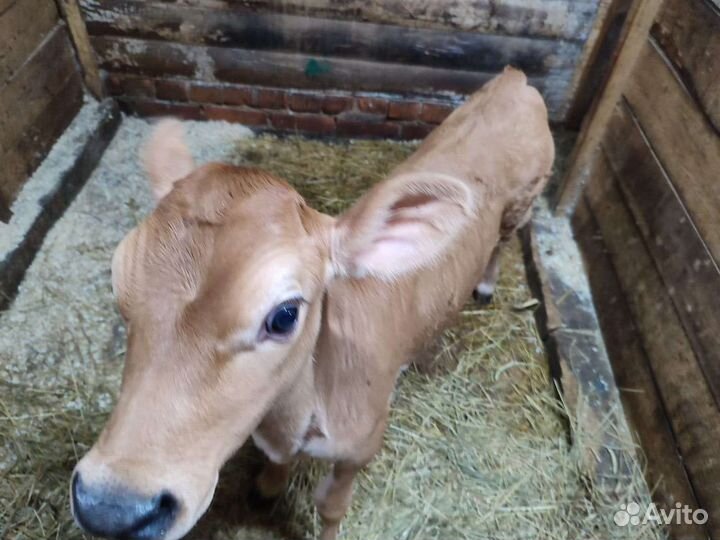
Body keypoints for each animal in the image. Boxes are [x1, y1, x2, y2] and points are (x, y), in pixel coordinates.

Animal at [71, 67, 554, 540]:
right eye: (118, 282)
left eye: (285, 316)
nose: (111, 508)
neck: (302, 407)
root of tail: (514, 78)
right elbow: (275, 460)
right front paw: (267, 486)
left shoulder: (362, 445)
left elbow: (332, 506)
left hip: (522, 204)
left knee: (501, 243)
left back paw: (486, 285)